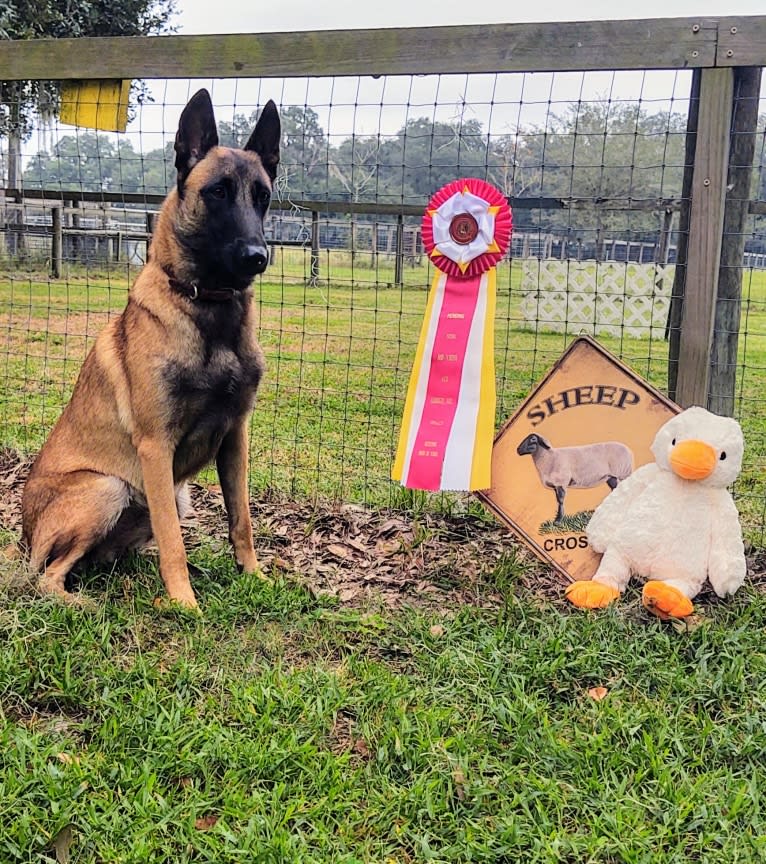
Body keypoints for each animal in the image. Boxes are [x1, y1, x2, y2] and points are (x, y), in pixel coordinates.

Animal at [21, 84, 282, 604]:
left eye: (262, 197)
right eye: (217, 192)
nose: (257, 256)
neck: (209, 309)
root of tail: (20, 536)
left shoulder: (236, 438)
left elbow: (241, 519)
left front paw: (254, 577)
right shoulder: (156, 447)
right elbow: (172, 542)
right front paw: (184, 603)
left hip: (175, 496)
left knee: (107, 559)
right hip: (107, 489)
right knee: (47, 576)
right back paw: (82, 602)